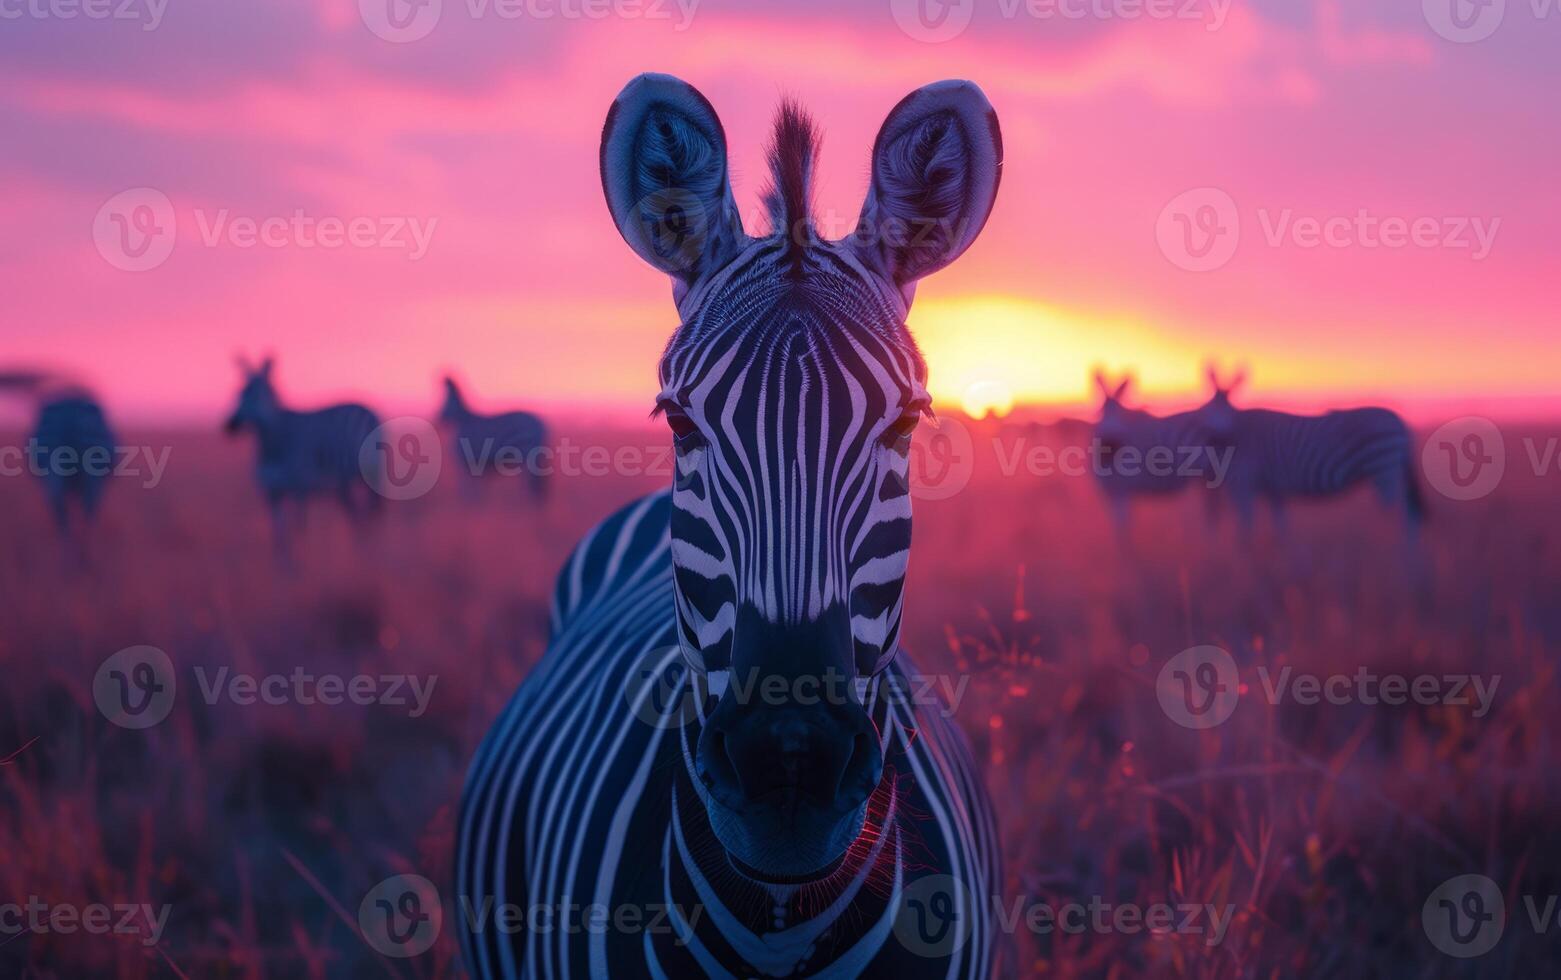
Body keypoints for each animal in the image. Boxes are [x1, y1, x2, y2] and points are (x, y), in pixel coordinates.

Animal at [221, 357, 382, 558]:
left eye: (257, 396)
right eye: (239, 393)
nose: (230, 425)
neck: (272, 446)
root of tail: (368, 408)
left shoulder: (300, 487)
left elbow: (299, 529)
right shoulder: (271, 492)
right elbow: (280, 536)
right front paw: (283, 563)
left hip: (370, 477)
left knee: (371, 515)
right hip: (344, 485)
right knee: (359, 516)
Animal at [437, 372, 552, 502]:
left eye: (446, 401)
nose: (439, 419)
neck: (464, 421)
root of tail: (541, 425)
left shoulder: (466, 461)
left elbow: (468, 488)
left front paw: (469, 504)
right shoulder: (478, 464)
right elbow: (477, 489)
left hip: (528, 455)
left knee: (530, 482)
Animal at [1192, 363, 1429, 536]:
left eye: (1228, 407)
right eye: (1209, 405)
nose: (1216, 435)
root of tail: (1400, 421)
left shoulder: (1243, 483)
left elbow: (1245, 526)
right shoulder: (1271, 487)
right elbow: (1280, 526)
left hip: (1384, 467)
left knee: (1404, 515)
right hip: (1388, 469)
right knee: (1411, 514)